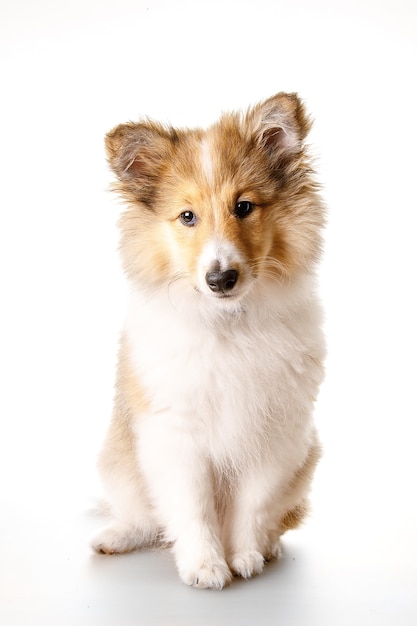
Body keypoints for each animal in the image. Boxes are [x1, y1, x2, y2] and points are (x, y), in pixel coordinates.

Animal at [90, 91, 324, 584]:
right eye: (187, 216)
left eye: (244, 207)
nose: (221, 279)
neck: (227, 323)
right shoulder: (175, 434)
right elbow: (191, 508)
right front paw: (205, 566)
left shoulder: (273, 436)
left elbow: (253, 506)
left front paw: (244, 557)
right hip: (118, 460)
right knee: (144, 517)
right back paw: (115, 537)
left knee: (278, 518)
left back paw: (269, 548)